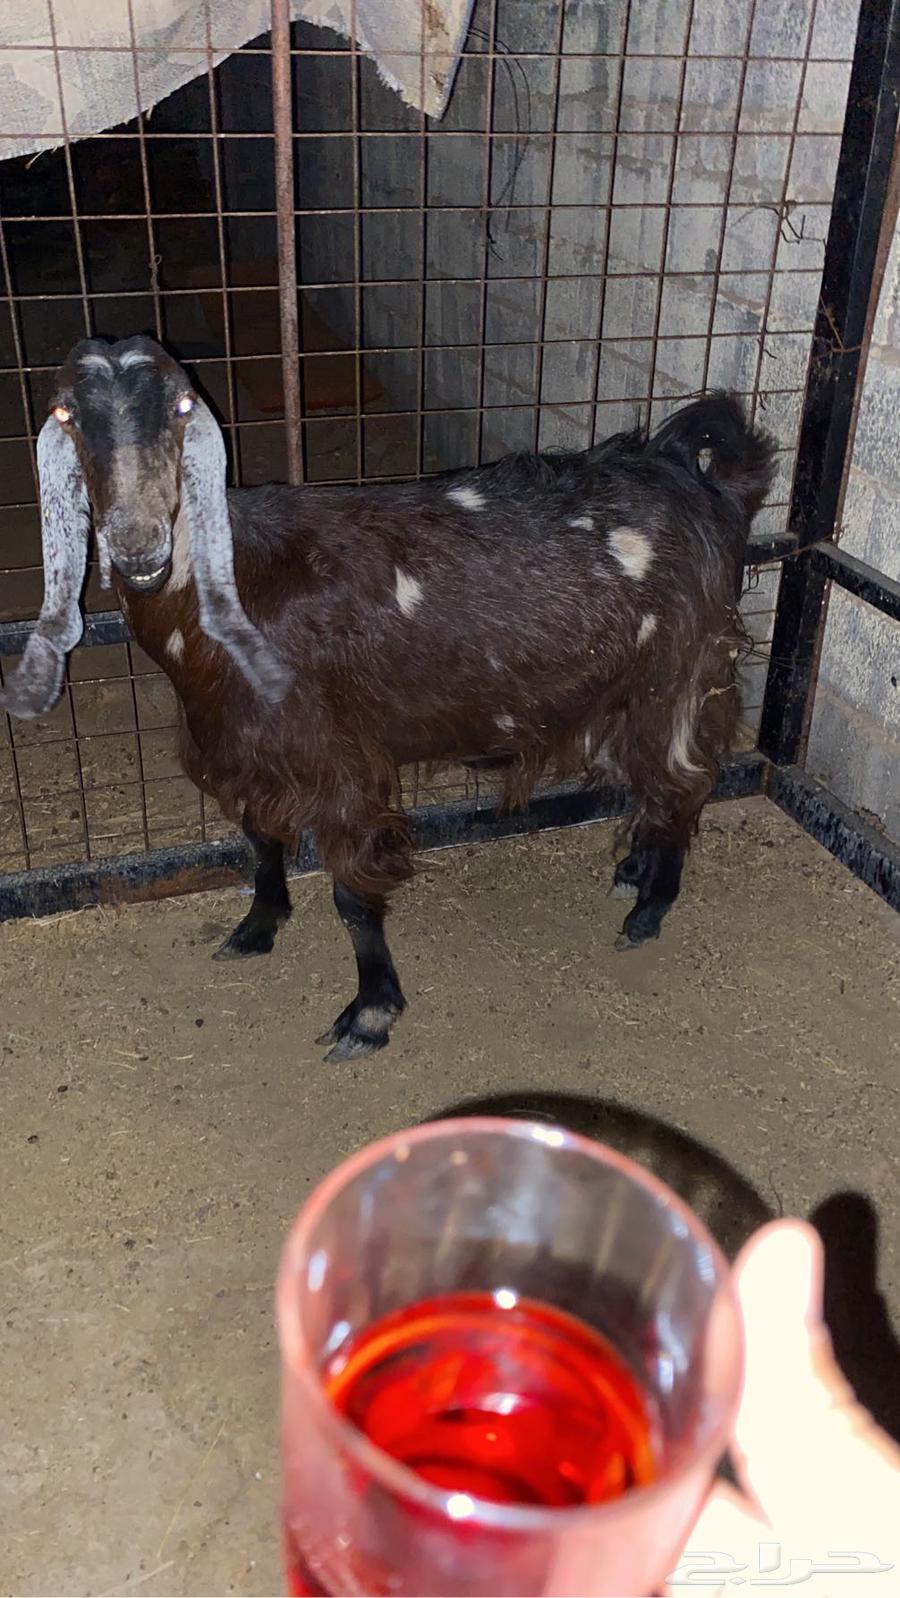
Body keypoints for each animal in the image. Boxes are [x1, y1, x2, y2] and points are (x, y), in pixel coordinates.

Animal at [1, 336, 775, 1061]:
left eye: (183, 406)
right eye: (66, 415)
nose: (138, 547)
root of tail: (698, 478)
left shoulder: (336, 754)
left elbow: (350, 895)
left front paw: (369, 1013)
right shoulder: (239, 748)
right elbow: (260, 840)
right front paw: (257, 927)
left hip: (678, 672)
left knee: (684, 781)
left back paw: (649, 909)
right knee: (650, 783)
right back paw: (633, 870)